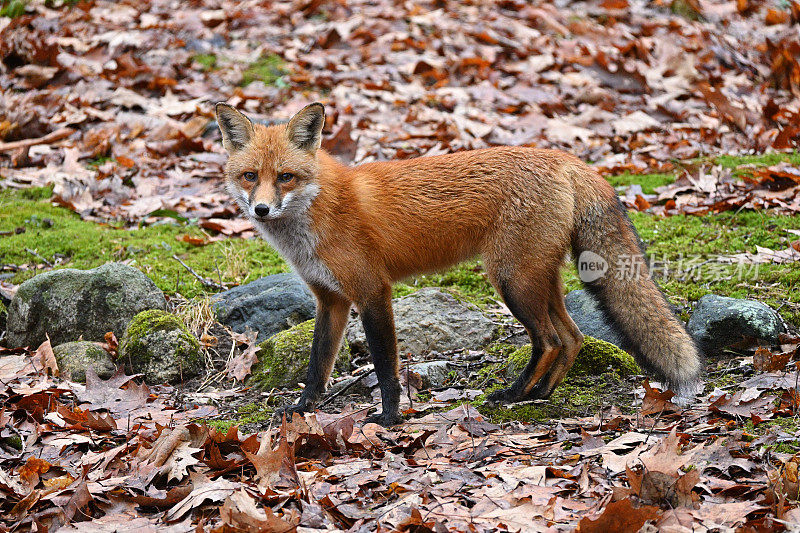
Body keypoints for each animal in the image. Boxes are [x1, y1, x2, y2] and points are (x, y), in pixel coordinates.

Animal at [217, 101, 700, 424]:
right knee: (573, 337)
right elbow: (317, 364)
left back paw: (514, 395)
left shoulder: (372, 291)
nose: (261, 210)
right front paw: (300, 410)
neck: (320, 213)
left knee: (548, 341)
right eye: (250, 176)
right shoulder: (330, 299)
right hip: (538, 281)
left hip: (511, 281)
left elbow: (386, 366)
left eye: (285, 177)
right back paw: (540, 395)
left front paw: (388, 418)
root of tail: (565, 158)